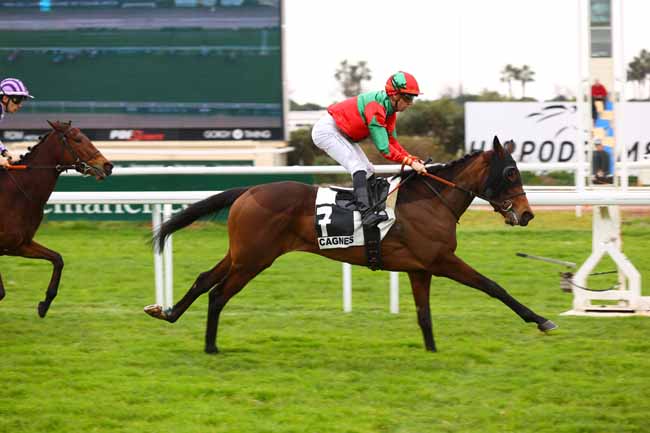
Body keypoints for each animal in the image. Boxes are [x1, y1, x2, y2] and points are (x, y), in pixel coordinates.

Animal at [0, 121, 112, 318]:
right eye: (78, 139)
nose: (108, 166)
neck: (17, 194)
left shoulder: (20, 244)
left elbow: (58, 259)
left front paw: (44, 304)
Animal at [144, 137, 556, 352]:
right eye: (511, 172)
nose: (527, 214)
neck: (431, 200)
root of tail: (248, 190)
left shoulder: (419, 268)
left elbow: (424, 314)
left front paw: (432, 351)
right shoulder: (442, 260)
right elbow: (494, 286)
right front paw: (540, 320)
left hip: (242, 254)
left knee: (204, 279)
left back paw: (167, 312)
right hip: (254, 259)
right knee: (218, 294)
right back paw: (210, 345)